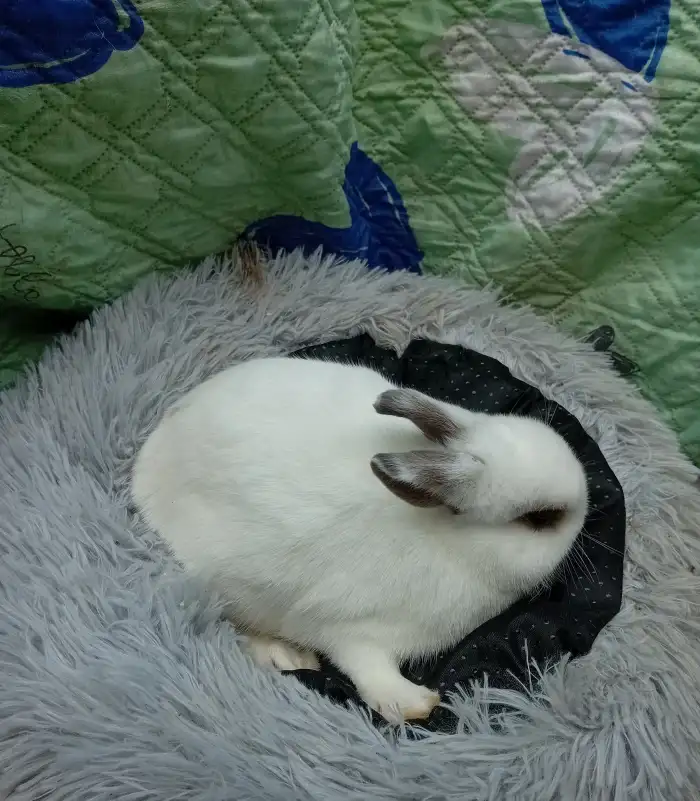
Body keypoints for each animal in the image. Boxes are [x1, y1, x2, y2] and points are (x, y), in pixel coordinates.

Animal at [132, 355, 589, 723]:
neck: (452, 544)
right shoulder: (355, 628)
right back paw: (286, 655)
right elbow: (366, 666)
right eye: (540, 519)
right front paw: (416, 704)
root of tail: (148, 461)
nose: (588, 508)